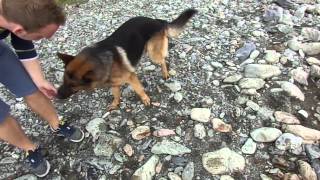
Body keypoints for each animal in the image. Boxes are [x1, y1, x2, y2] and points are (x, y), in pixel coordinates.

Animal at [57, 9, 198, 110]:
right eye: (63, 80)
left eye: (73, 85)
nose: (57, 95)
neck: (100, 60)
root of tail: (157, 21)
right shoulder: (114, 83)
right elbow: (116, 94)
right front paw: (115, 104)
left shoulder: (131, 77)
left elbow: (139, 89)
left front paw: (145, 99)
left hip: (153, 54)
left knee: (163, 60)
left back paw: (165, 73)